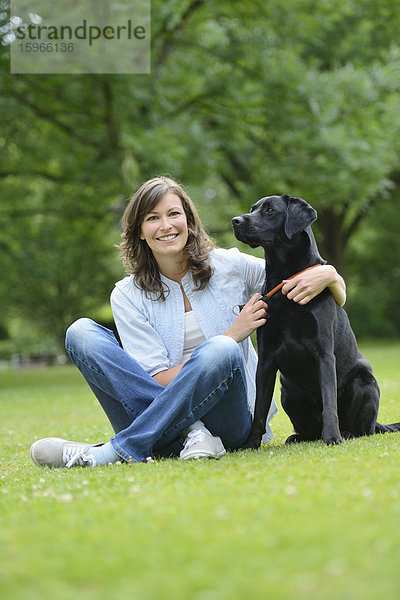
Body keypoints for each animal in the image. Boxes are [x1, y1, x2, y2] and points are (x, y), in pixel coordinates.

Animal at [231, 193, 400, 446]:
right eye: (253, 209)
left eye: (270, 210)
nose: (236, 221)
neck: (284, 278)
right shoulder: (267, 357)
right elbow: (259, 409)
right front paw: (251, 444)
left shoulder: (324, 352)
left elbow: (329, 402)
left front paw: (332, 437)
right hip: (287, 390)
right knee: (309, 431)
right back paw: (298, 437)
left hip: (363, 381)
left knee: (364, 429)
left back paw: (345, 433)